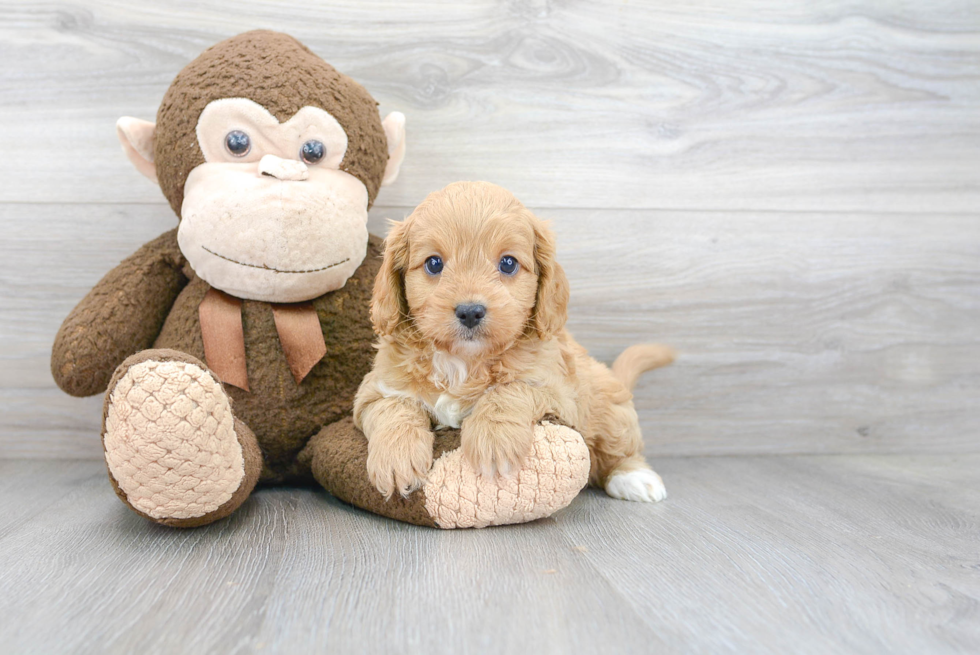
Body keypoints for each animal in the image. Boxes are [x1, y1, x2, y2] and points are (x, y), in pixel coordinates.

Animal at [352, 182, 672, 504]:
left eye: (508, 264)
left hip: (607, 407)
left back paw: (634, 477)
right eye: (433, 263)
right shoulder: (372, 392)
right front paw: (396, 458)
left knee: (619, 446)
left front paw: (494, 441)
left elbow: (510, 390)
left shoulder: (556, 389)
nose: (470, 311)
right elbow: (394, 408)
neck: (464, 361)